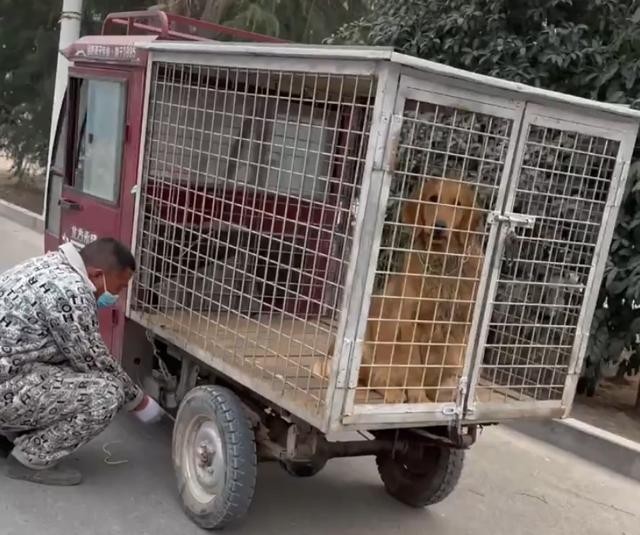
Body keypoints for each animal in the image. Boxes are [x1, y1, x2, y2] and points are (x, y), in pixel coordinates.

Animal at [312, 178, 482, 404]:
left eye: (458, 204)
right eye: (433, 199)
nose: (439, 226)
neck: (443, 266)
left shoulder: (461, 327)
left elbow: (454, 368)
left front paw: (451, 394)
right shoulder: (410, 325)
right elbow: (414, 367)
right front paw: (419, 397)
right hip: (363, 343)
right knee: (370, 379)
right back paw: (393, 393)